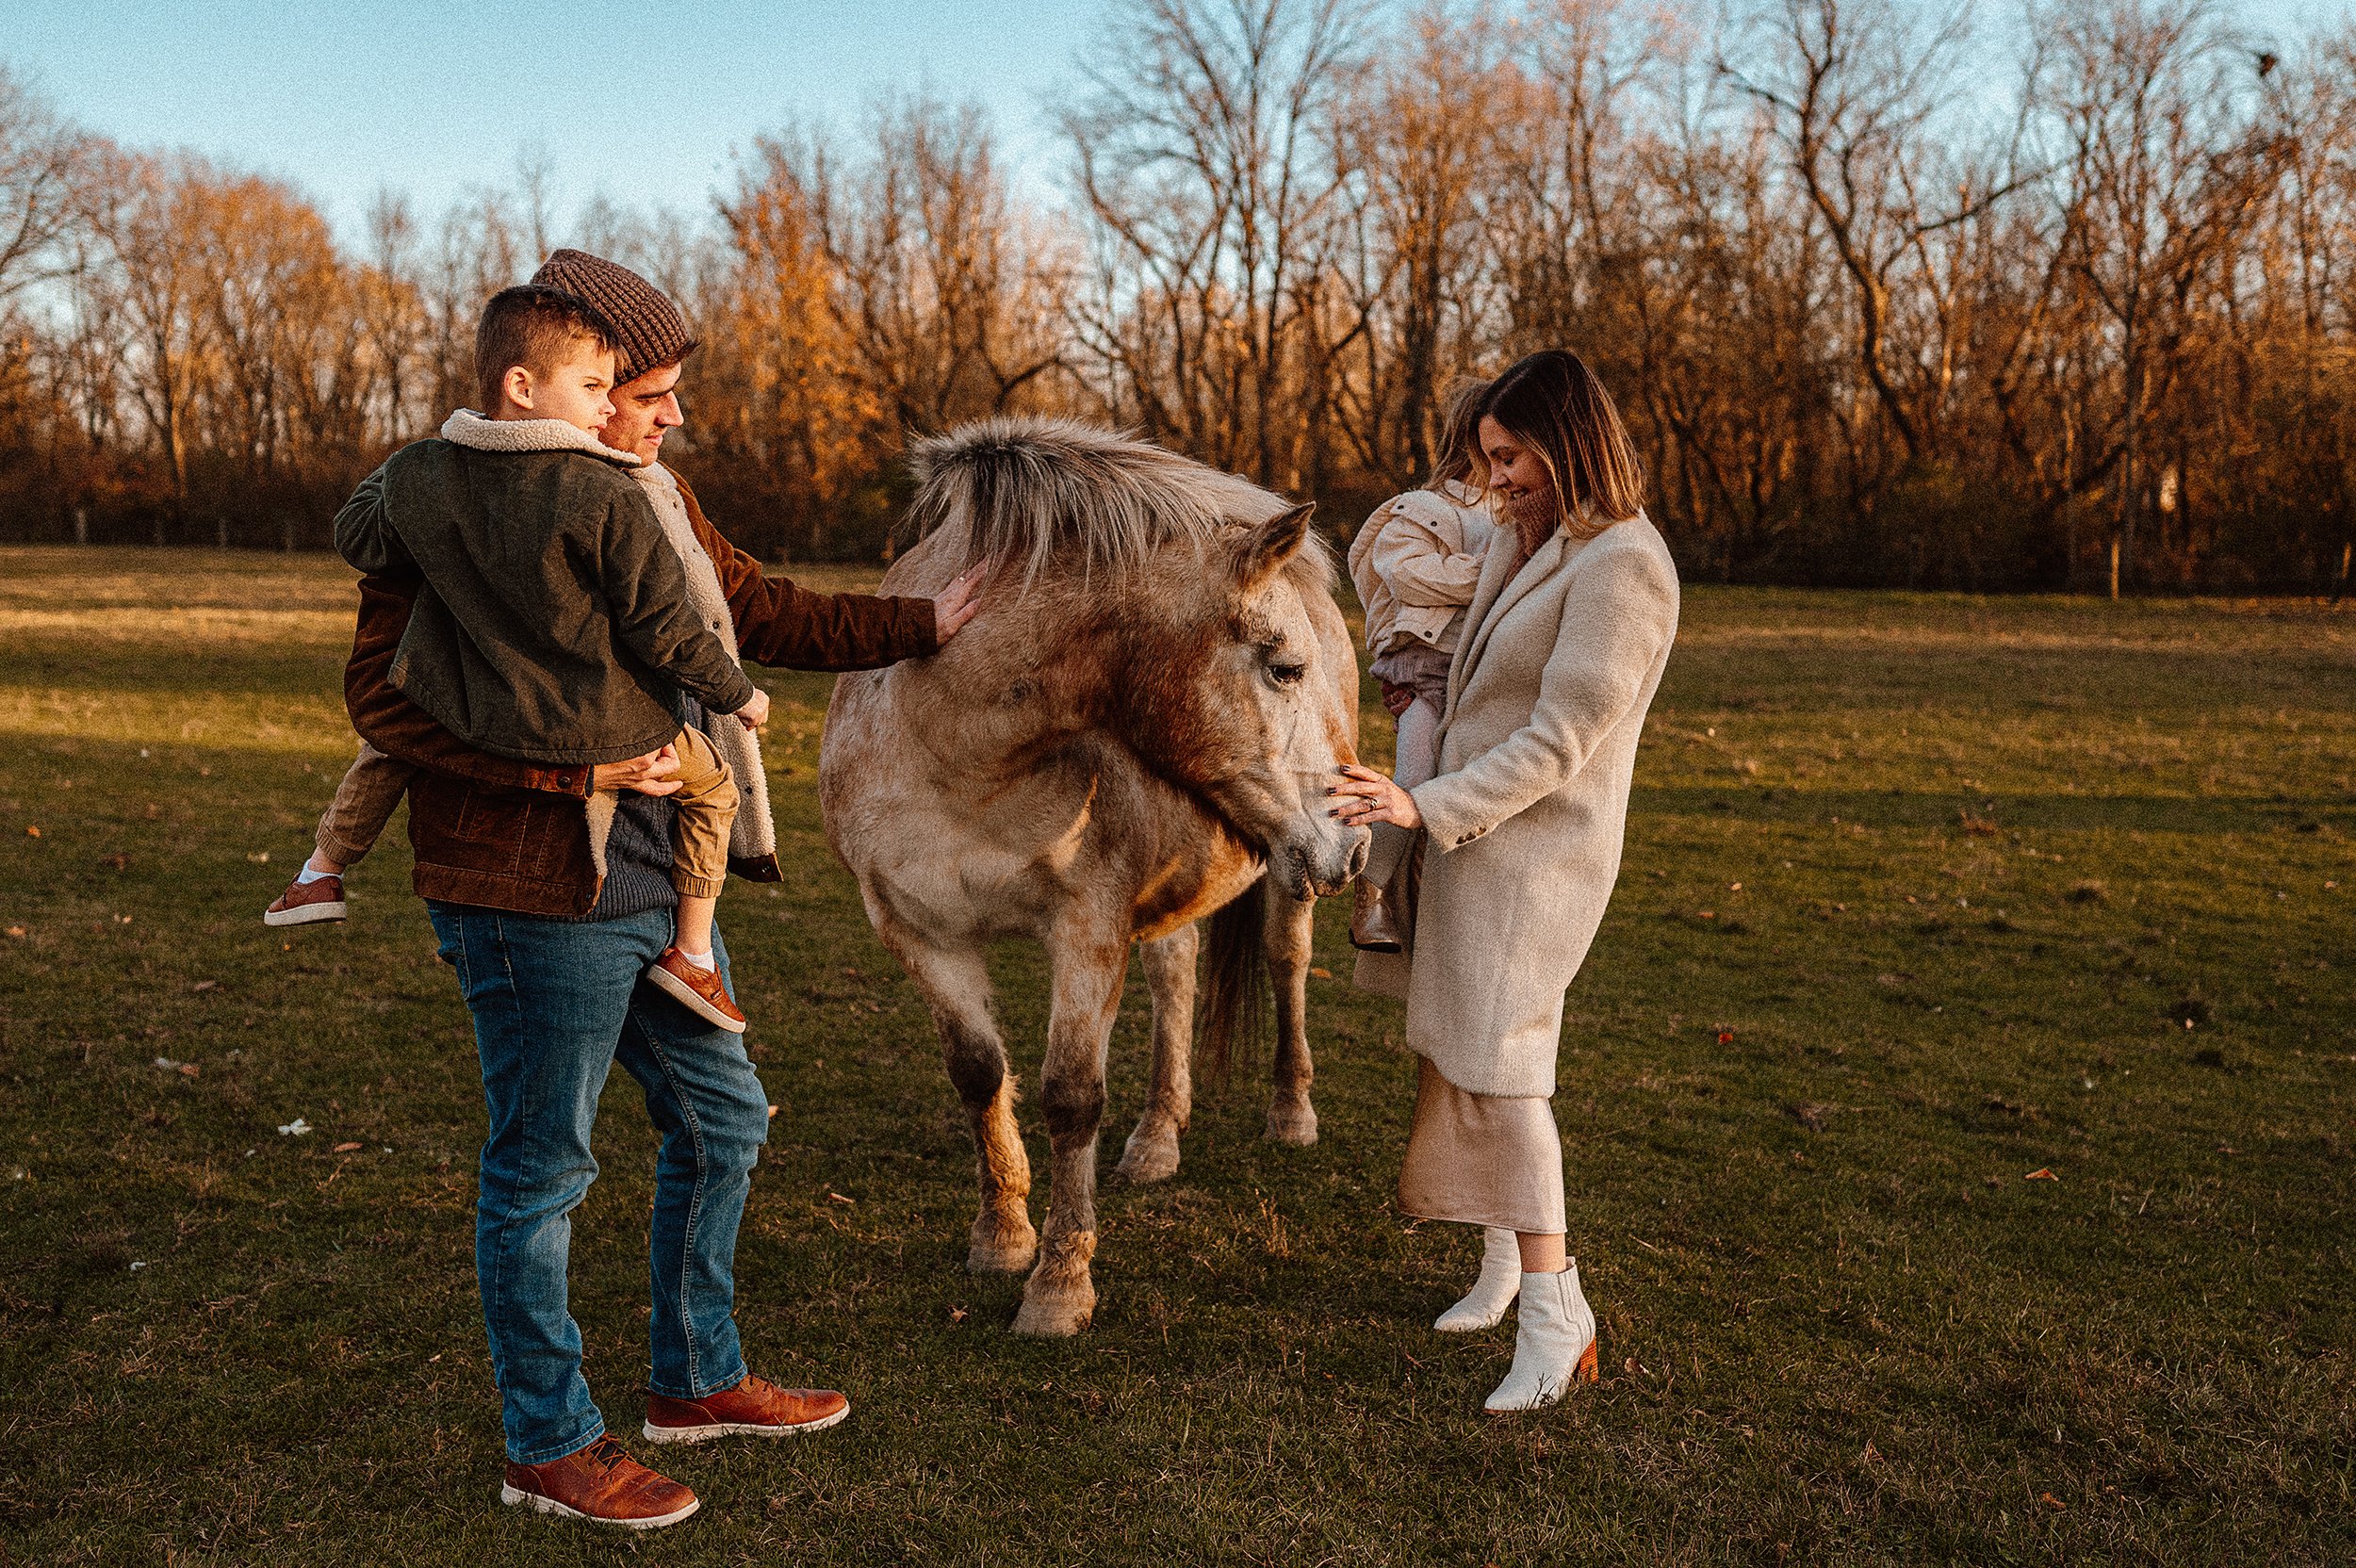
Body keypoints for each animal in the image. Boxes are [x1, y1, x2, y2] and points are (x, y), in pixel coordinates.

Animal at [820, 414, 1376, 1328]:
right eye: (1284, 668)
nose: (1357, 845)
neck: (956, 752)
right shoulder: (916, 929)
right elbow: (979, 1074)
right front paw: (1002, 1237)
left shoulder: (1087, 928)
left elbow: (1071, 1096)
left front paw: (1058, 1286)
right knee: (1175, 977)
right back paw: (1156, 1139)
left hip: (1288, 877)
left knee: (1286, 964)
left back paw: (1291, 1112)